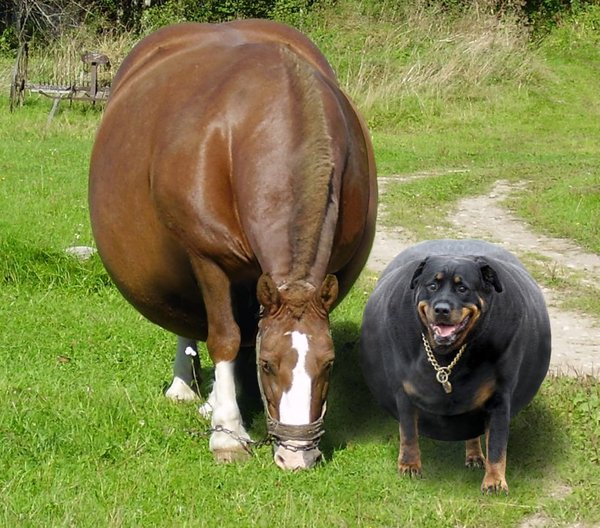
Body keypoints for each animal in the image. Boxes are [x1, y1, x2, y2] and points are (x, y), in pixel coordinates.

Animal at [87, 19, 378, 470]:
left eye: (329, 363)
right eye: (269, 365)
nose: (296, 455)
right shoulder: (207, 259)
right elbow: (223, 337)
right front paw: (227, 433)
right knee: (199, 327)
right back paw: (188, 388)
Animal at [358, 241, 552, 492]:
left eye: (462, 289)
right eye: (432, 285)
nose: (441, 309)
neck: (447, 357)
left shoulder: (499, 397)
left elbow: (497, 443)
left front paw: (495, 481)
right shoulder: (405, 391)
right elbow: (408, 432)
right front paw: (409, 466)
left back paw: (475, 456)